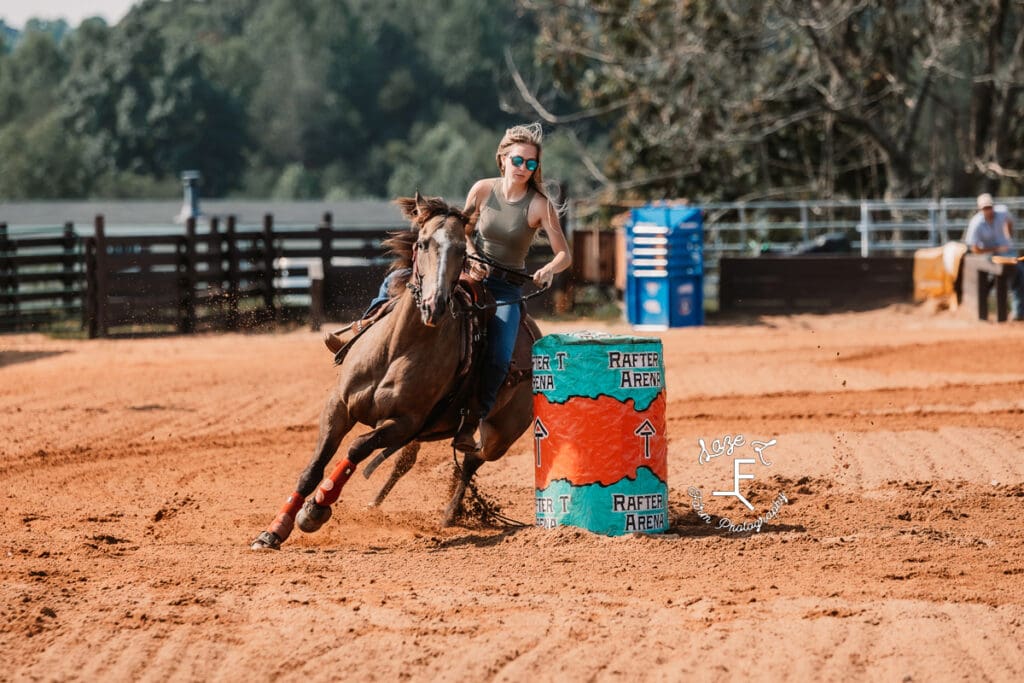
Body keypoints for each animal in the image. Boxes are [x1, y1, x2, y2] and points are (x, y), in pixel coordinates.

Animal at [251, 192, 540, 548]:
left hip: (500, 435)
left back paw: (450, 513)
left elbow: (357, 447)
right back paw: (378, 503)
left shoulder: (404, 423)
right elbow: (313, 468)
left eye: (462, 250)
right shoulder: (339, 406)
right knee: (409, 461)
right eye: (423, 243)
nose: (434, 305)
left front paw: (316, 509)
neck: (397, 347)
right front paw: (274, 529)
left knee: (471, 460)